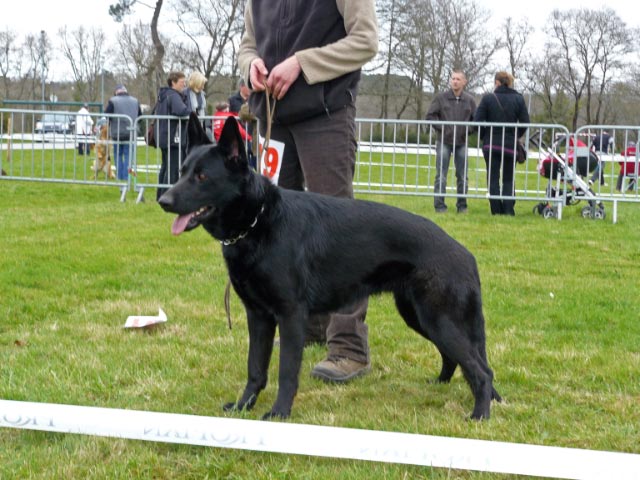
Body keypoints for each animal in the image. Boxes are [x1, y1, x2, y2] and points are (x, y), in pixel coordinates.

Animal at [158, 114, 502, 422]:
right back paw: (444, 386)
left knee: (481, 369)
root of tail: (465, 254)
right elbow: (255, 368)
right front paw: (244, 406)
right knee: (458, 358)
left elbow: (286, 371)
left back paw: (480, 415)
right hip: (420, 317)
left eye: (202, 177)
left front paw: (279, 413)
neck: (258, 221)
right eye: (182, 171)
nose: (164, 201)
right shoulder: (259, 318)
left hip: (438, 320)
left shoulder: (290, 316)